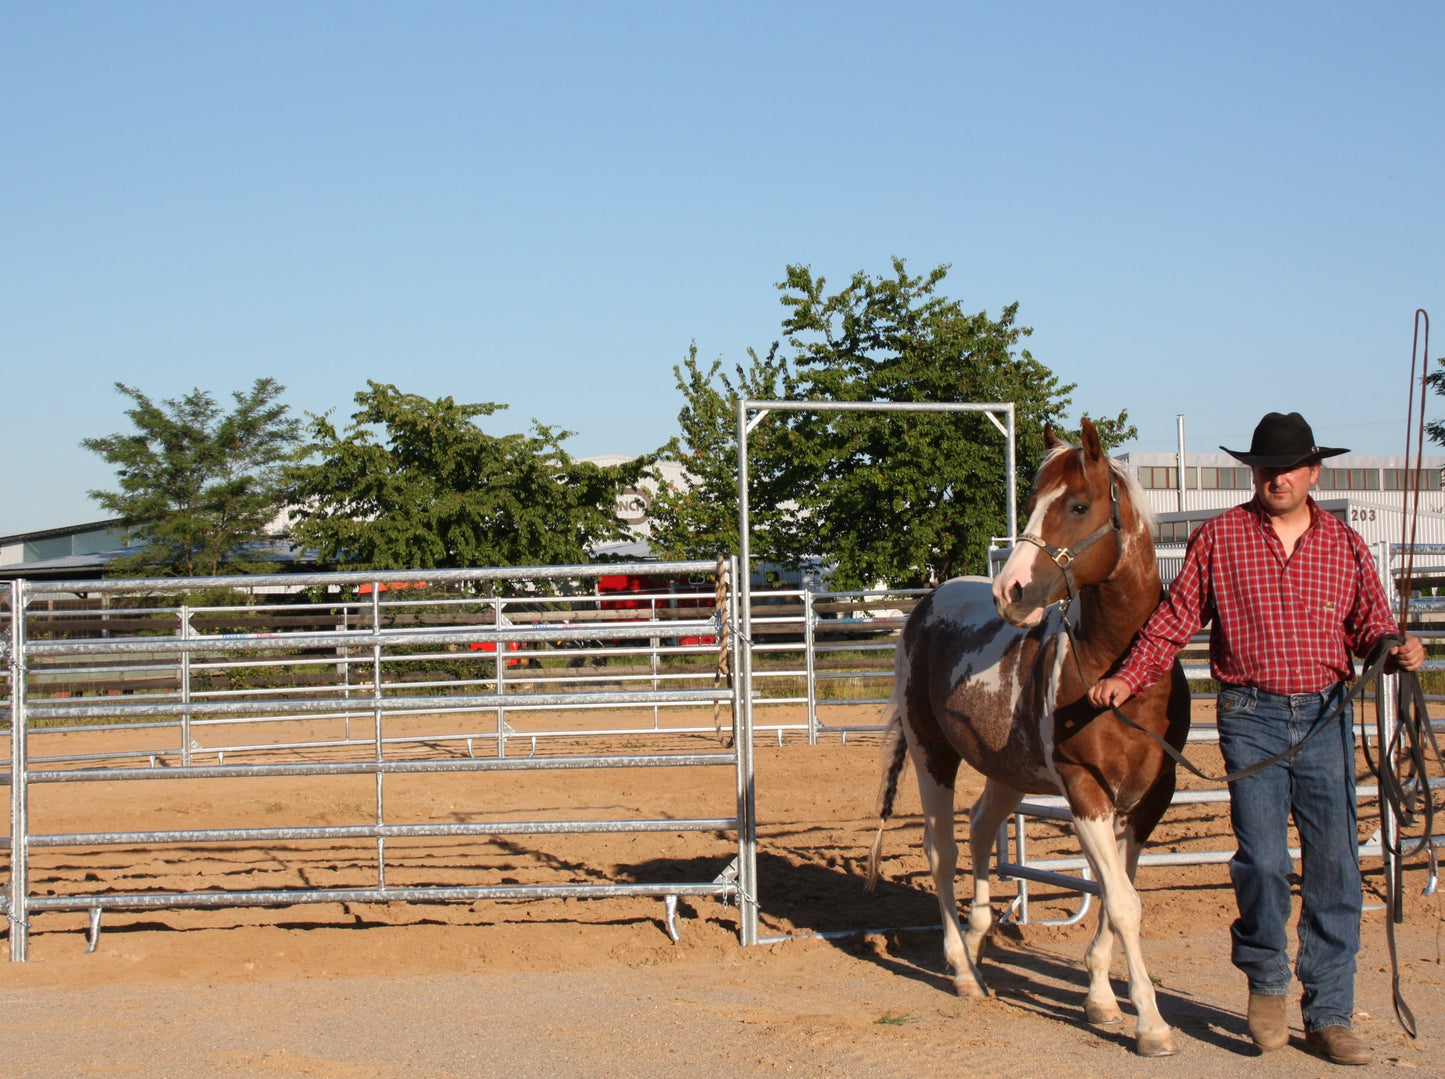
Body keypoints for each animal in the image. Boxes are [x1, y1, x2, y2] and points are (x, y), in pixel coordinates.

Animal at [867, 418, 1184, 1057]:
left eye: (1079, 504)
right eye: (1032, 500)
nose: (1009, 590)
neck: (1122, 677)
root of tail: (925, 606)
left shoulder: (1148, 801)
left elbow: (1120, 895)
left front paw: (1100, 999)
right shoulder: (1085, 792)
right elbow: (1122, 903)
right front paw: (1151, 1023)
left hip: (1007, 771)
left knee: (981, 826)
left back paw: (978, 939)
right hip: (932, 755)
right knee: (942, 851)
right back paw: (963, 970)